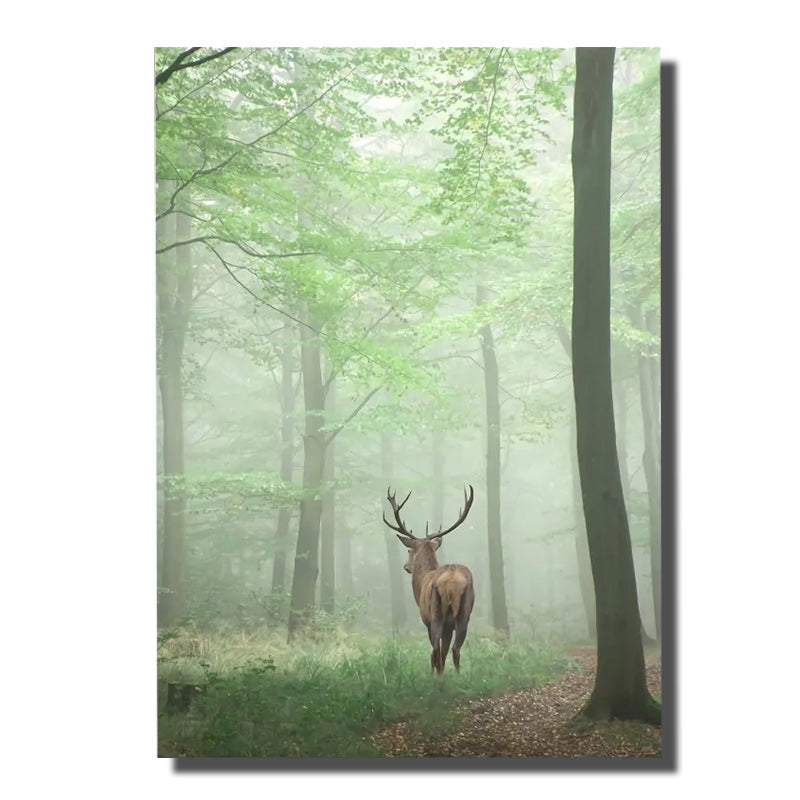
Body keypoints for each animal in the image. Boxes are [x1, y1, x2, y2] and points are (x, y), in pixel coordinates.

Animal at [383, 485, 475, 675]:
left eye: (409, 551)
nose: (406, 566)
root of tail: (452, 583)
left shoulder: (426, 619)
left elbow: (436, 652)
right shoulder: (449, 626)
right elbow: (445, 652)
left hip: (436, 613)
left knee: (436, 650)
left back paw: (436, 677)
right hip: (464, 613)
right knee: (455, 649)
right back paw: (458, 676)